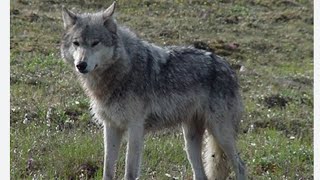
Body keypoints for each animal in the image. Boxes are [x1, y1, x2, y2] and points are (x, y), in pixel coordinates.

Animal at [61, 1, 248, 180]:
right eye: (76, 43)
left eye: (95, 43)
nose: (81, 65)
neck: (121, 71)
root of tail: (229, 69)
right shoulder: (111, 126)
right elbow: (108, 171)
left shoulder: (135, 127)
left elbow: (129, 172)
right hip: (190, 140)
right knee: (201, 175)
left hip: (220, 133)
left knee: (241, 166)